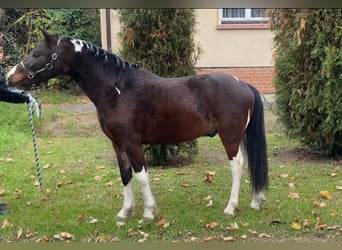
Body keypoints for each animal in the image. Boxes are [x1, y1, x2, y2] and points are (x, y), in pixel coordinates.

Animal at [8, 30, 268, 220]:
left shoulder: (132, 143)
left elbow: (141, 176)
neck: (117, 88)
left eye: (37, 54)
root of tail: (243, 84)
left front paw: (148, 213)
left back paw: (230, 207)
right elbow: (125, 175)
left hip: (229, 137)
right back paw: (255, 201)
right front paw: (125, 212)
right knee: (249, 163)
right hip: (240, 136)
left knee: (237, 166)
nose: (10, 77)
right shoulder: (117, 144)